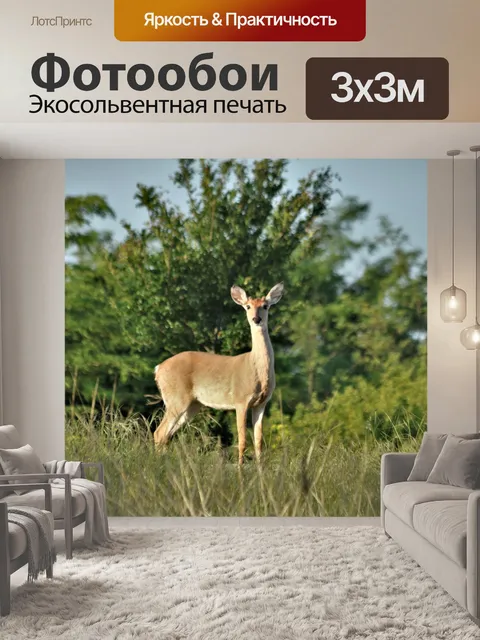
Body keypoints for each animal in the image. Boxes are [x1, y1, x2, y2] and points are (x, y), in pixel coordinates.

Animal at [153, 283, 284, 464]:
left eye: (265, 306)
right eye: (248, 306)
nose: (256, 319)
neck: (256, 370)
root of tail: (158, 368)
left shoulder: (261, 403)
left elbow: (258, 443)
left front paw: (260, 469)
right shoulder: (240, 400)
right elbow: (242, 441)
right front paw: (240, 469)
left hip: (192, 404)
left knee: (166, 435)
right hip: (176, 397)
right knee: (159, 432)